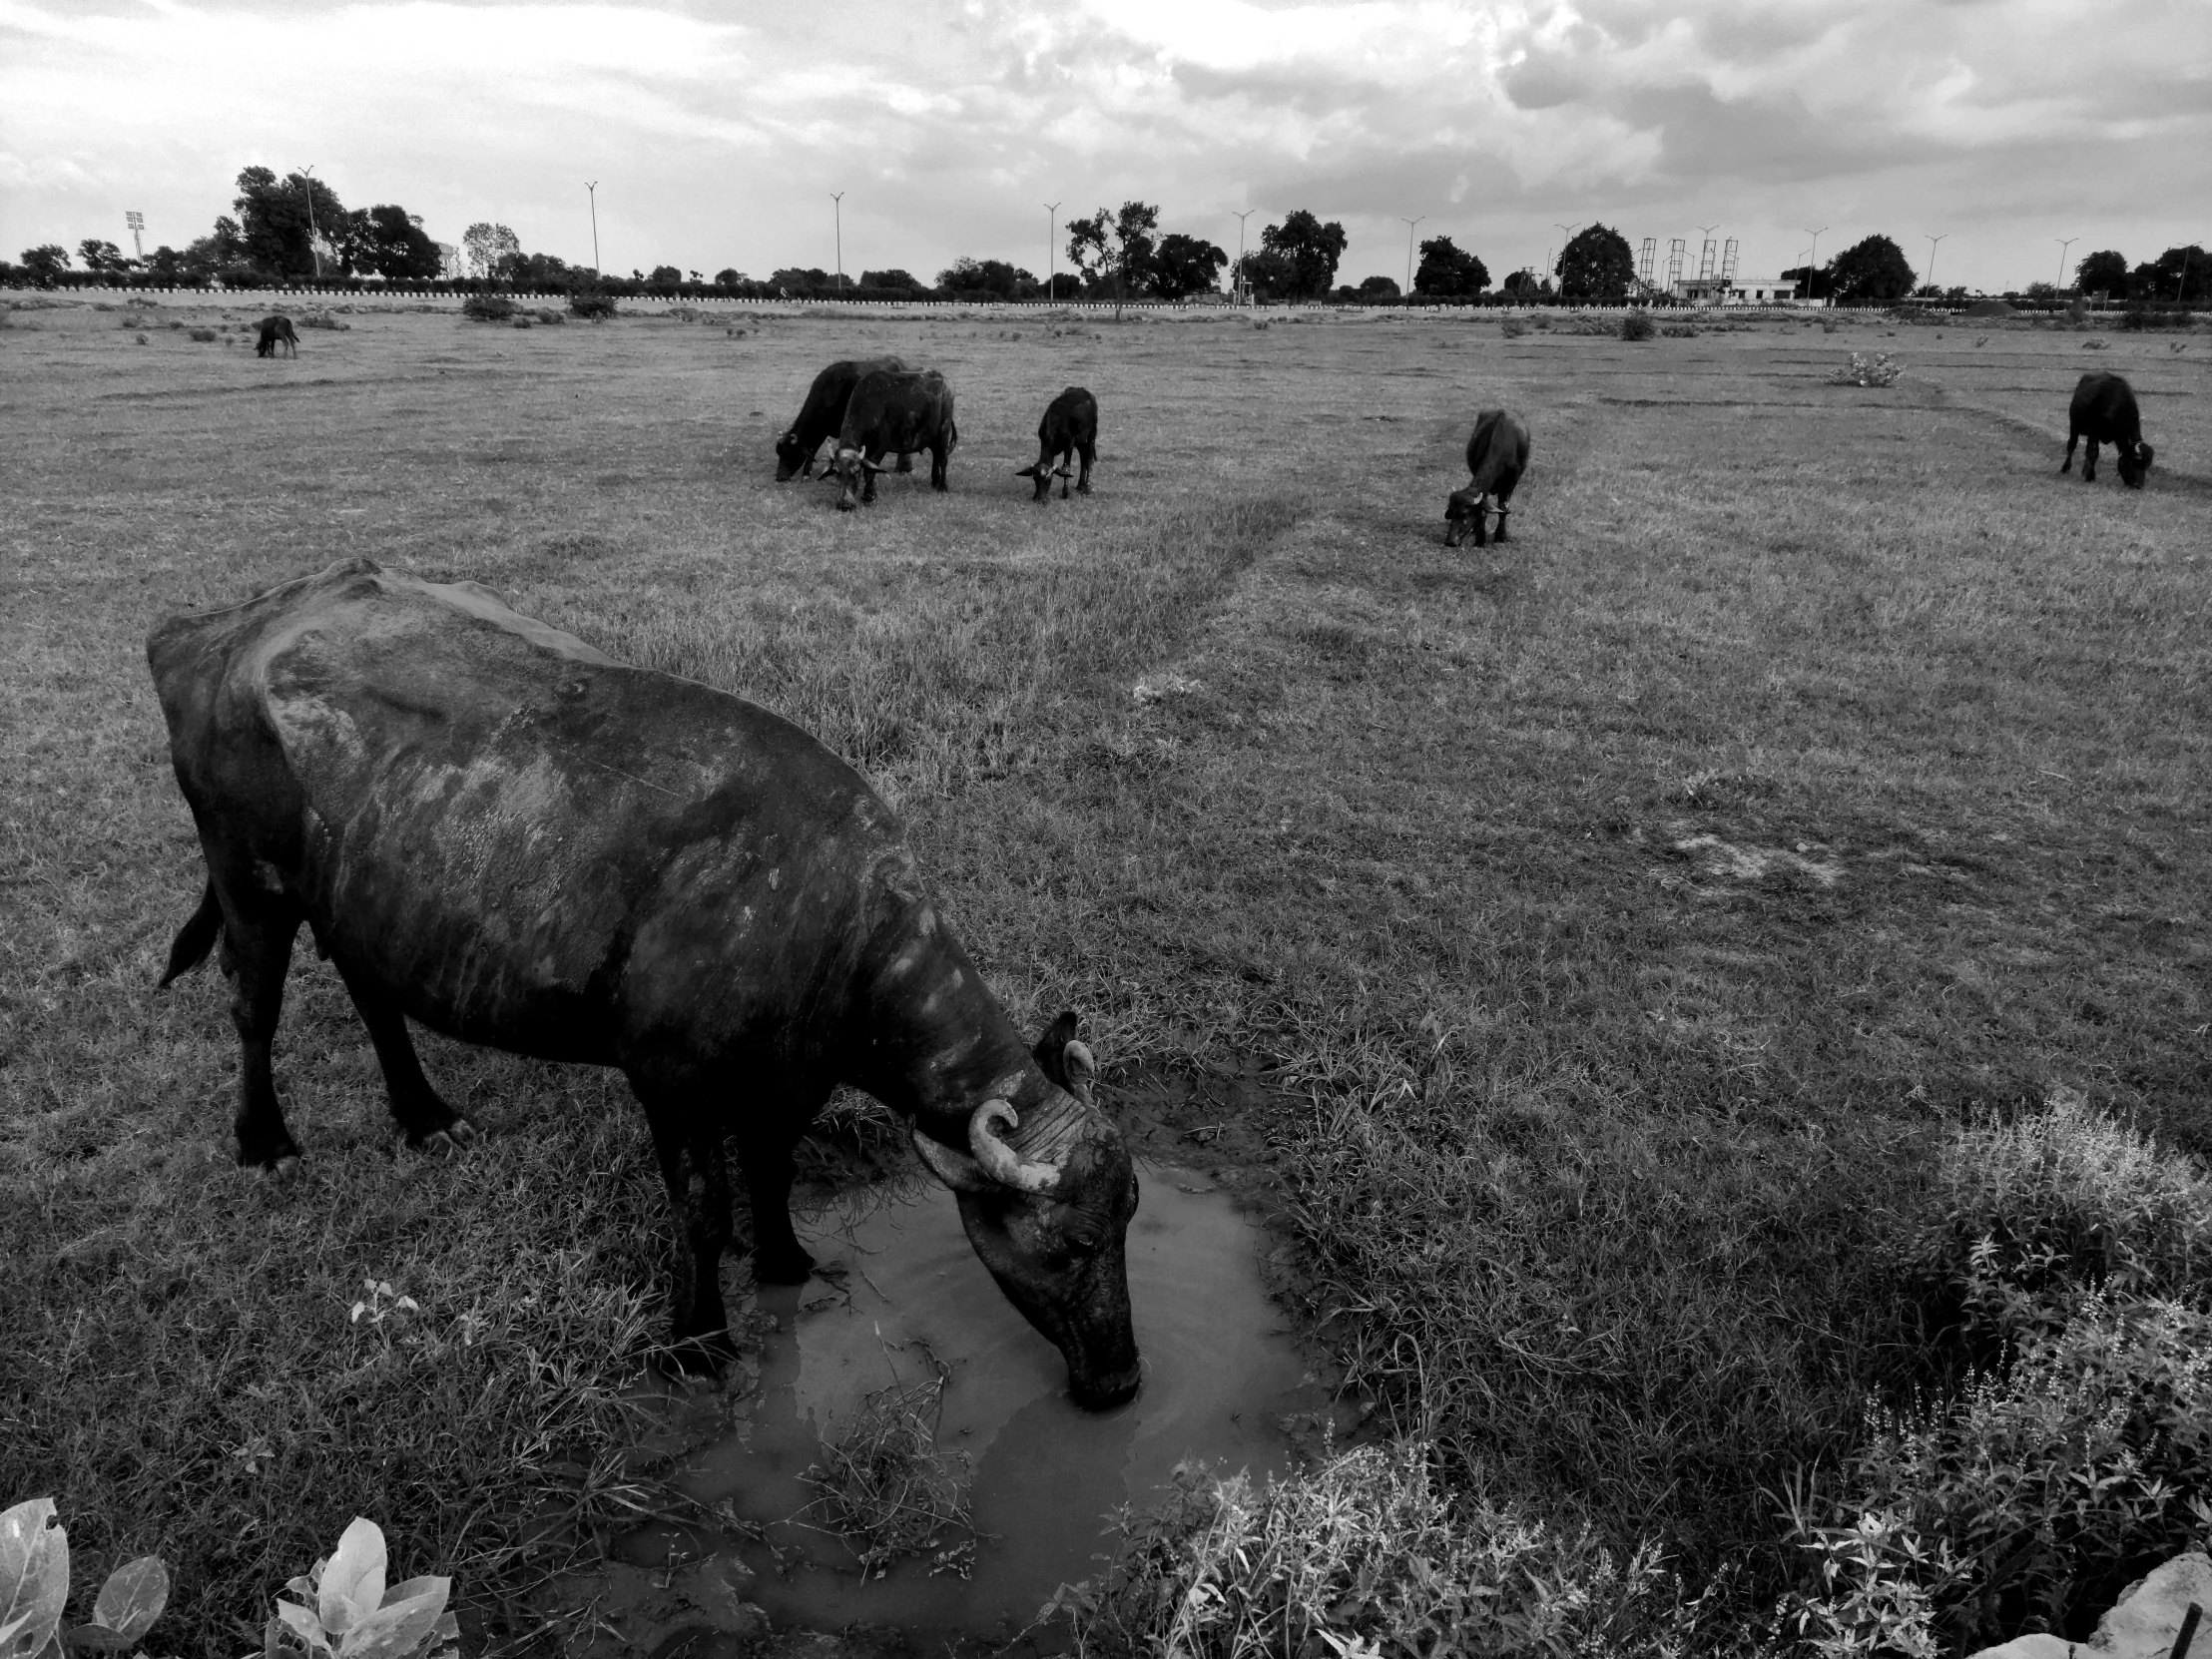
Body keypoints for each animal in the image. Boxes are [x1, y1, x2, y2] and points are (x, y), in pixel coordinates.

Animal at [156, 561, 1150, 1415]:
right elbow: (703, 1211)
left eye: (1129, 1217)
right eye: (1073, 1243)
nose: (1122, 1379)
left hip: (360, 901)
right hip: (248, 880)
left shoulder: (790, 1079)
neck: (828, 924)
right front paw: (697, 1341)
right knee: (253, 1005)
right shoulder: (670, 1081)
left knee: (371, 995)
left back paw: (425, 1115)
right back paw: (266, 1141)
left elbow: (773, 1168)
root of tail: (215, 631)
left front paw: (785, 1260)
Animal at [779, 353, 915, 477]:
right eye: (779, 453)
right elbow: (814, 448)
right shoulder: (823, 428)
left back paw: (904, 468)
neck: (830, 392)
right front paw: (807, 473)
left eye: (790, 453)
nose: (780, 477)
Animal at [827, 366, 955, 510]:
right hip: (932, 436)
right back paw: (934, 480)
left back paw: (942, 486)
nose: (845, 505)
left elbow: (870, 471)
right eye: (837, 472)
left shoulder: (880, 448)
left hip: (943, 430)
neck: (870, 406)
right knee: (936, 454)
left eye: (855, 471)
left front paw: (869, 496)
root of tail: (946, 381)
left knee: (943, 458)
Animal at [1441, 408, 1530, 553]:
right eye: (1452, 511)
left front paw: (1501, 536)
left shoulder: (1511, 483)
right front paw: (1480, 539)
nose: (1449, 541)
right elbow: (1483, 513)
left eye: (1465, 514)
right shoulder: (1484, 490)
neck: (1503, 443)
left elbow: (1503, 508)